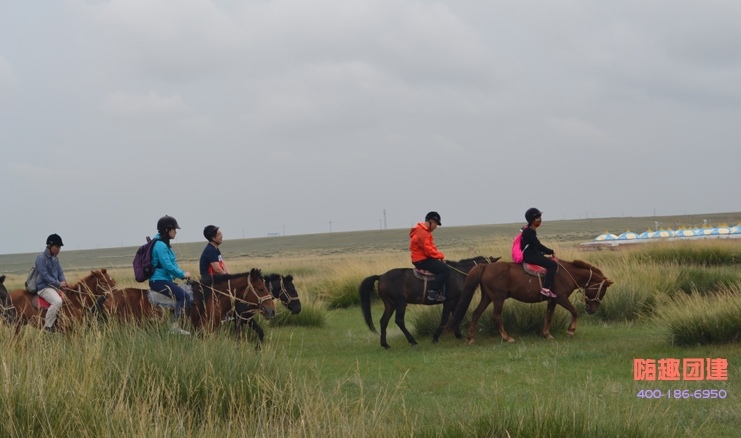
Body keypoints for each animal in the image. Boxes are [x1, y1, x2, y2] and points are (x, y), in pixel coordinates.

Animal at [358, 256, 498, 350]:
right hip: (400, 303)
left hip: (390, 304)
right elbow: (445, 318)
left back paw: (385, 344)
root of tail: (381, 276)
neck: (459, 274)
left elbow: (455, 316)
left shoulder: (456, 301)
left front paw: (458, 335)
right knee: (399, 321)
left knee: (383, 321)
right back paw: (412, 341)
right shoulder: (449, 301)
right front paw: (435, 338)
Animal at [446, 258, 612, 344]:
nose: (592, 309)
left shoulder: (552, 300)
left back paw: (471, 338)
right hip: (498, 298)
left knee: (476, 314)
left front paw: (546, 334)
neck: (567, 274)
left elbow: (548, 317)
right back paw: (507, 338)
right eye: (602, 291)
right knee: (496, 317)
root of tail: (486, 266)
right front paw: (570, 331)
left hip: (488, 297)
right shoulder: (560, 297)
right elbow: (575, 311)